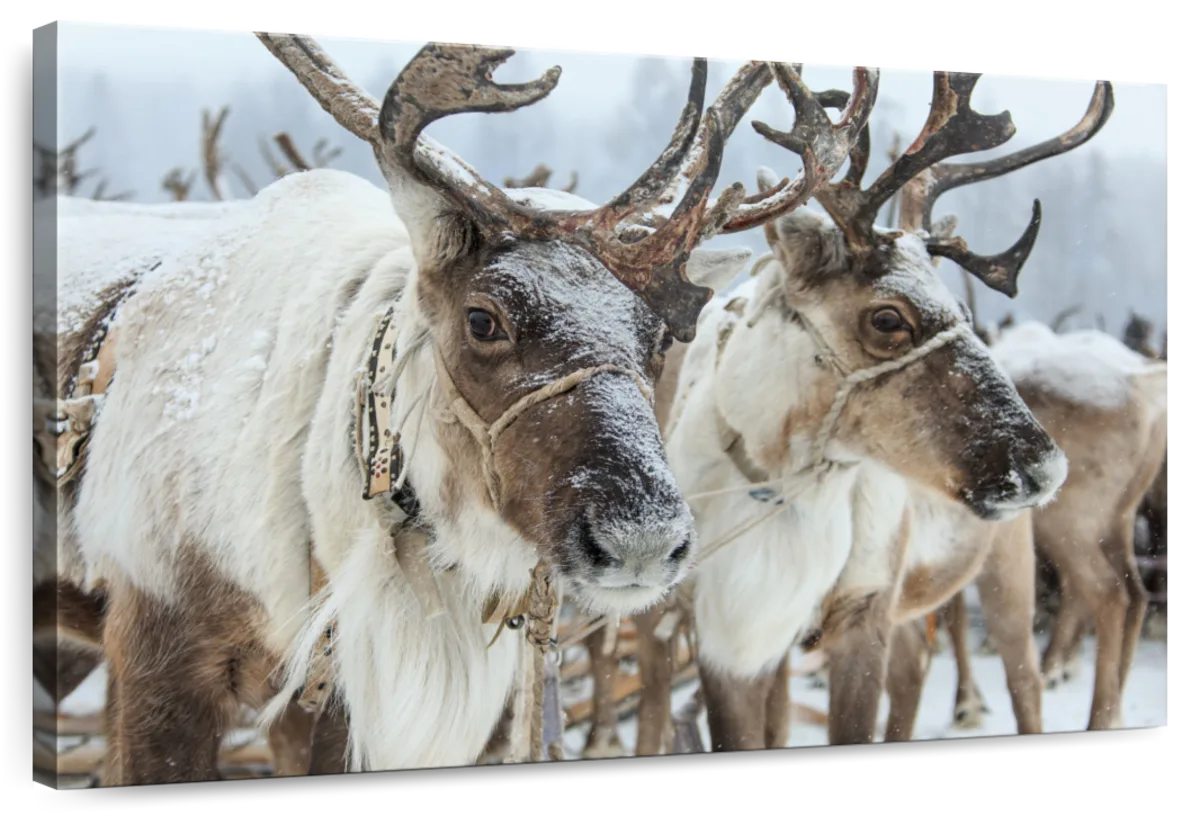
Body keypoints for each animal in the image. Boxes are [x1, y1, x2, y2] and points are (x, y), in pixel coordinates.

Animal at [633, 68, 1113, 752]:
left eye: (962, 311)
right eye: (887, 318)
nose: (1044, 468)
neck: (783, 475)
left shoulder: (866, 609)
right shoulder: (729, 634)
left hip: (1006, 569)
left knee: (1023, 682)